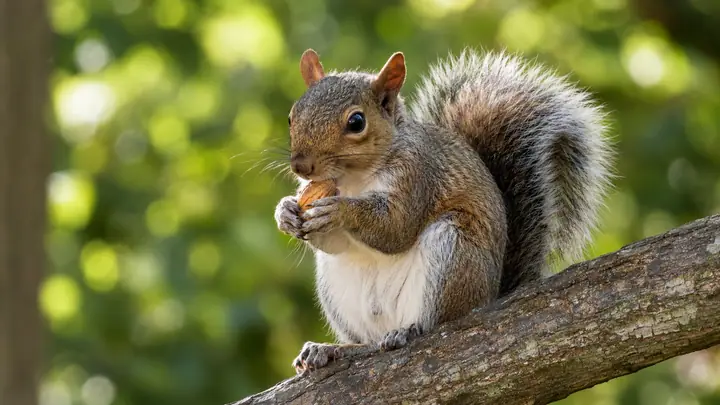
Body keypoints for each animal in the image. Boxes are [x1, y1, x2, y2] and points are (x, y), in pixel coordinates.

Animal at [274, 48, 612, 374]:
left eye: (356, 122)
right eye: (292, 116)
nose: (301, 166)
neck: (353, 179)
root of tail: (491, 297)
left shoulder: (418, 177)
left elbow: (395, 229)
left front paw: (339, 211)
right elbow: (333, 242)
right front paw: (286, 212)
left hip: (453, 251)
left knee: (436, 325)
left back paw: (407, 331)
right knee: (367, 343)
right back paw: (333, 349)